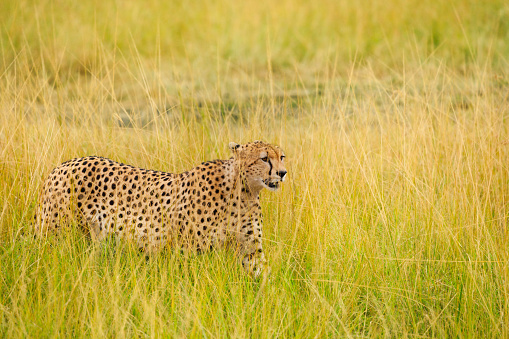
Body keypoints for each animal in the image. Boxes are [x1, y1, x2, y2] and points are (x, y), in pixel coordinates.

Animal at [35, 141, 288, 278]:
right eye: (264, 159)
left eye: (282, 157)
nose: (282, 172)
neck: (243, 191)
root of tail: (63, 165)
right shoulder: (187, 251)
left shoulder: (250, 250)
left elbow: (263, 274)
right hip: (54, 233)